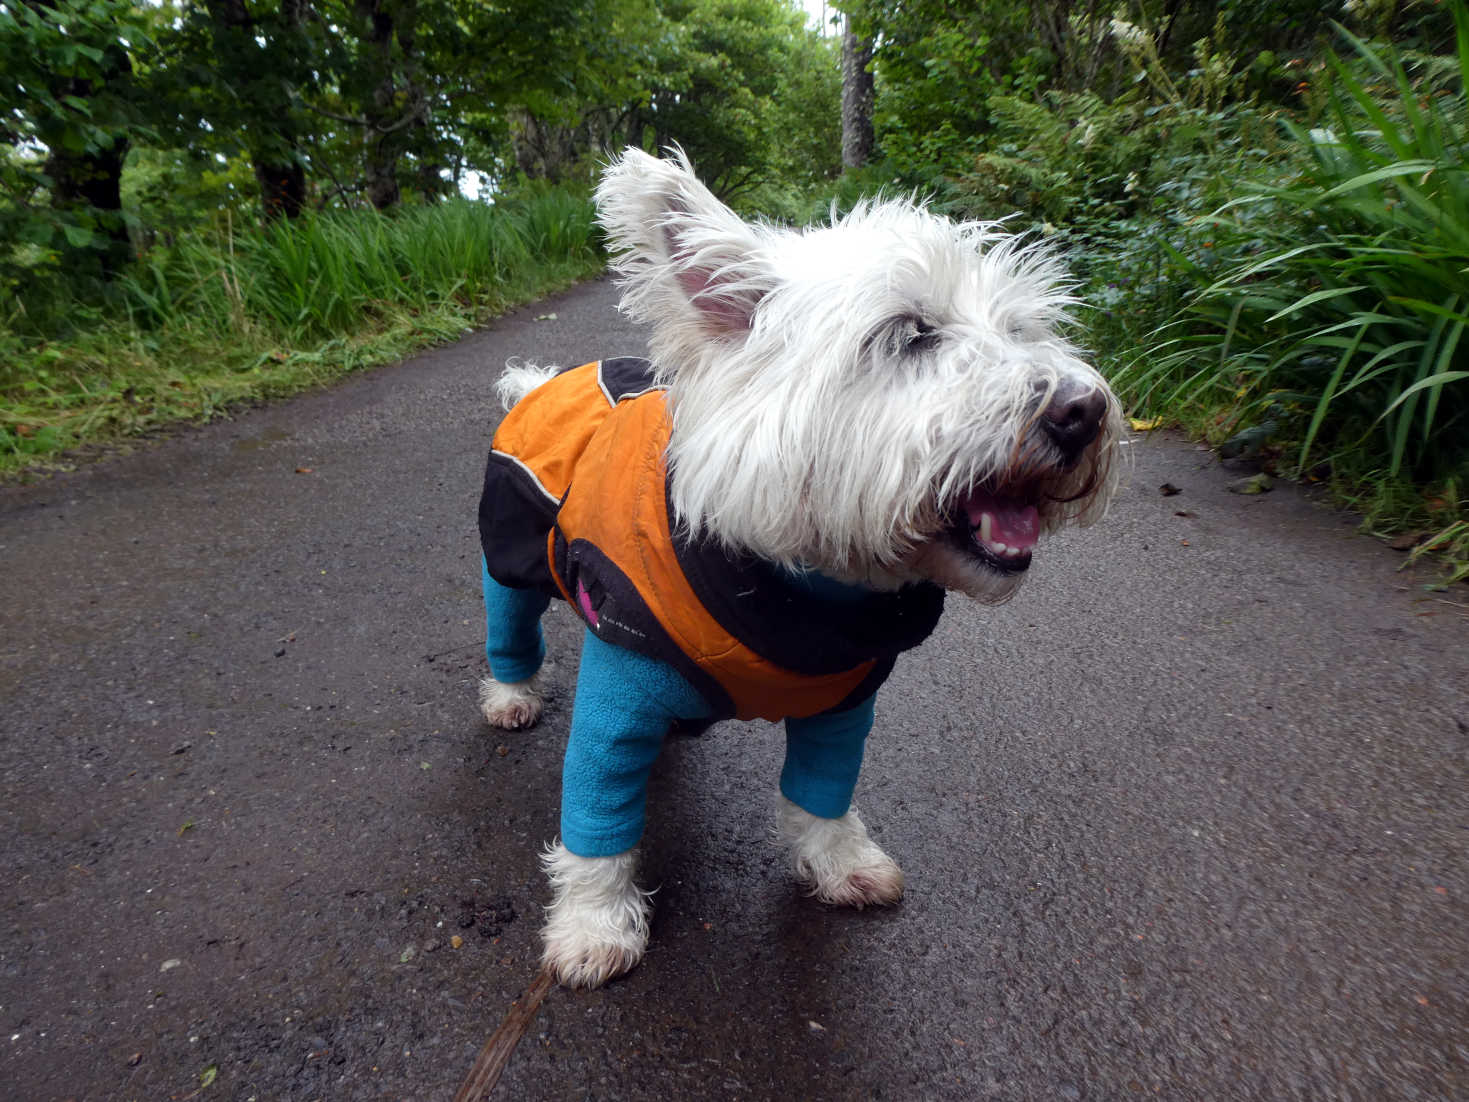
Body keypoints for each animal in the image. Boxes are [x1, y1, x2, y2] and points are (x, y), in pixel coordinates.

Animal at [475, 149, 1116, 993]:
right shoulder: (617, 700)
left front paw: (842, 865)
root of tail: (546, 377)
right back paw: (510, 695)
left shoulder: (844, 704)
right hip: (509, 553)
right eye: (909, 334)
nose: (1083, 411)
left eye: (1020, 329)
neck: (798, 589)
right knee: (510, 627)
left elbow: (822, 792)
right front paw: (593, 924)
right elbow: (597, 820)